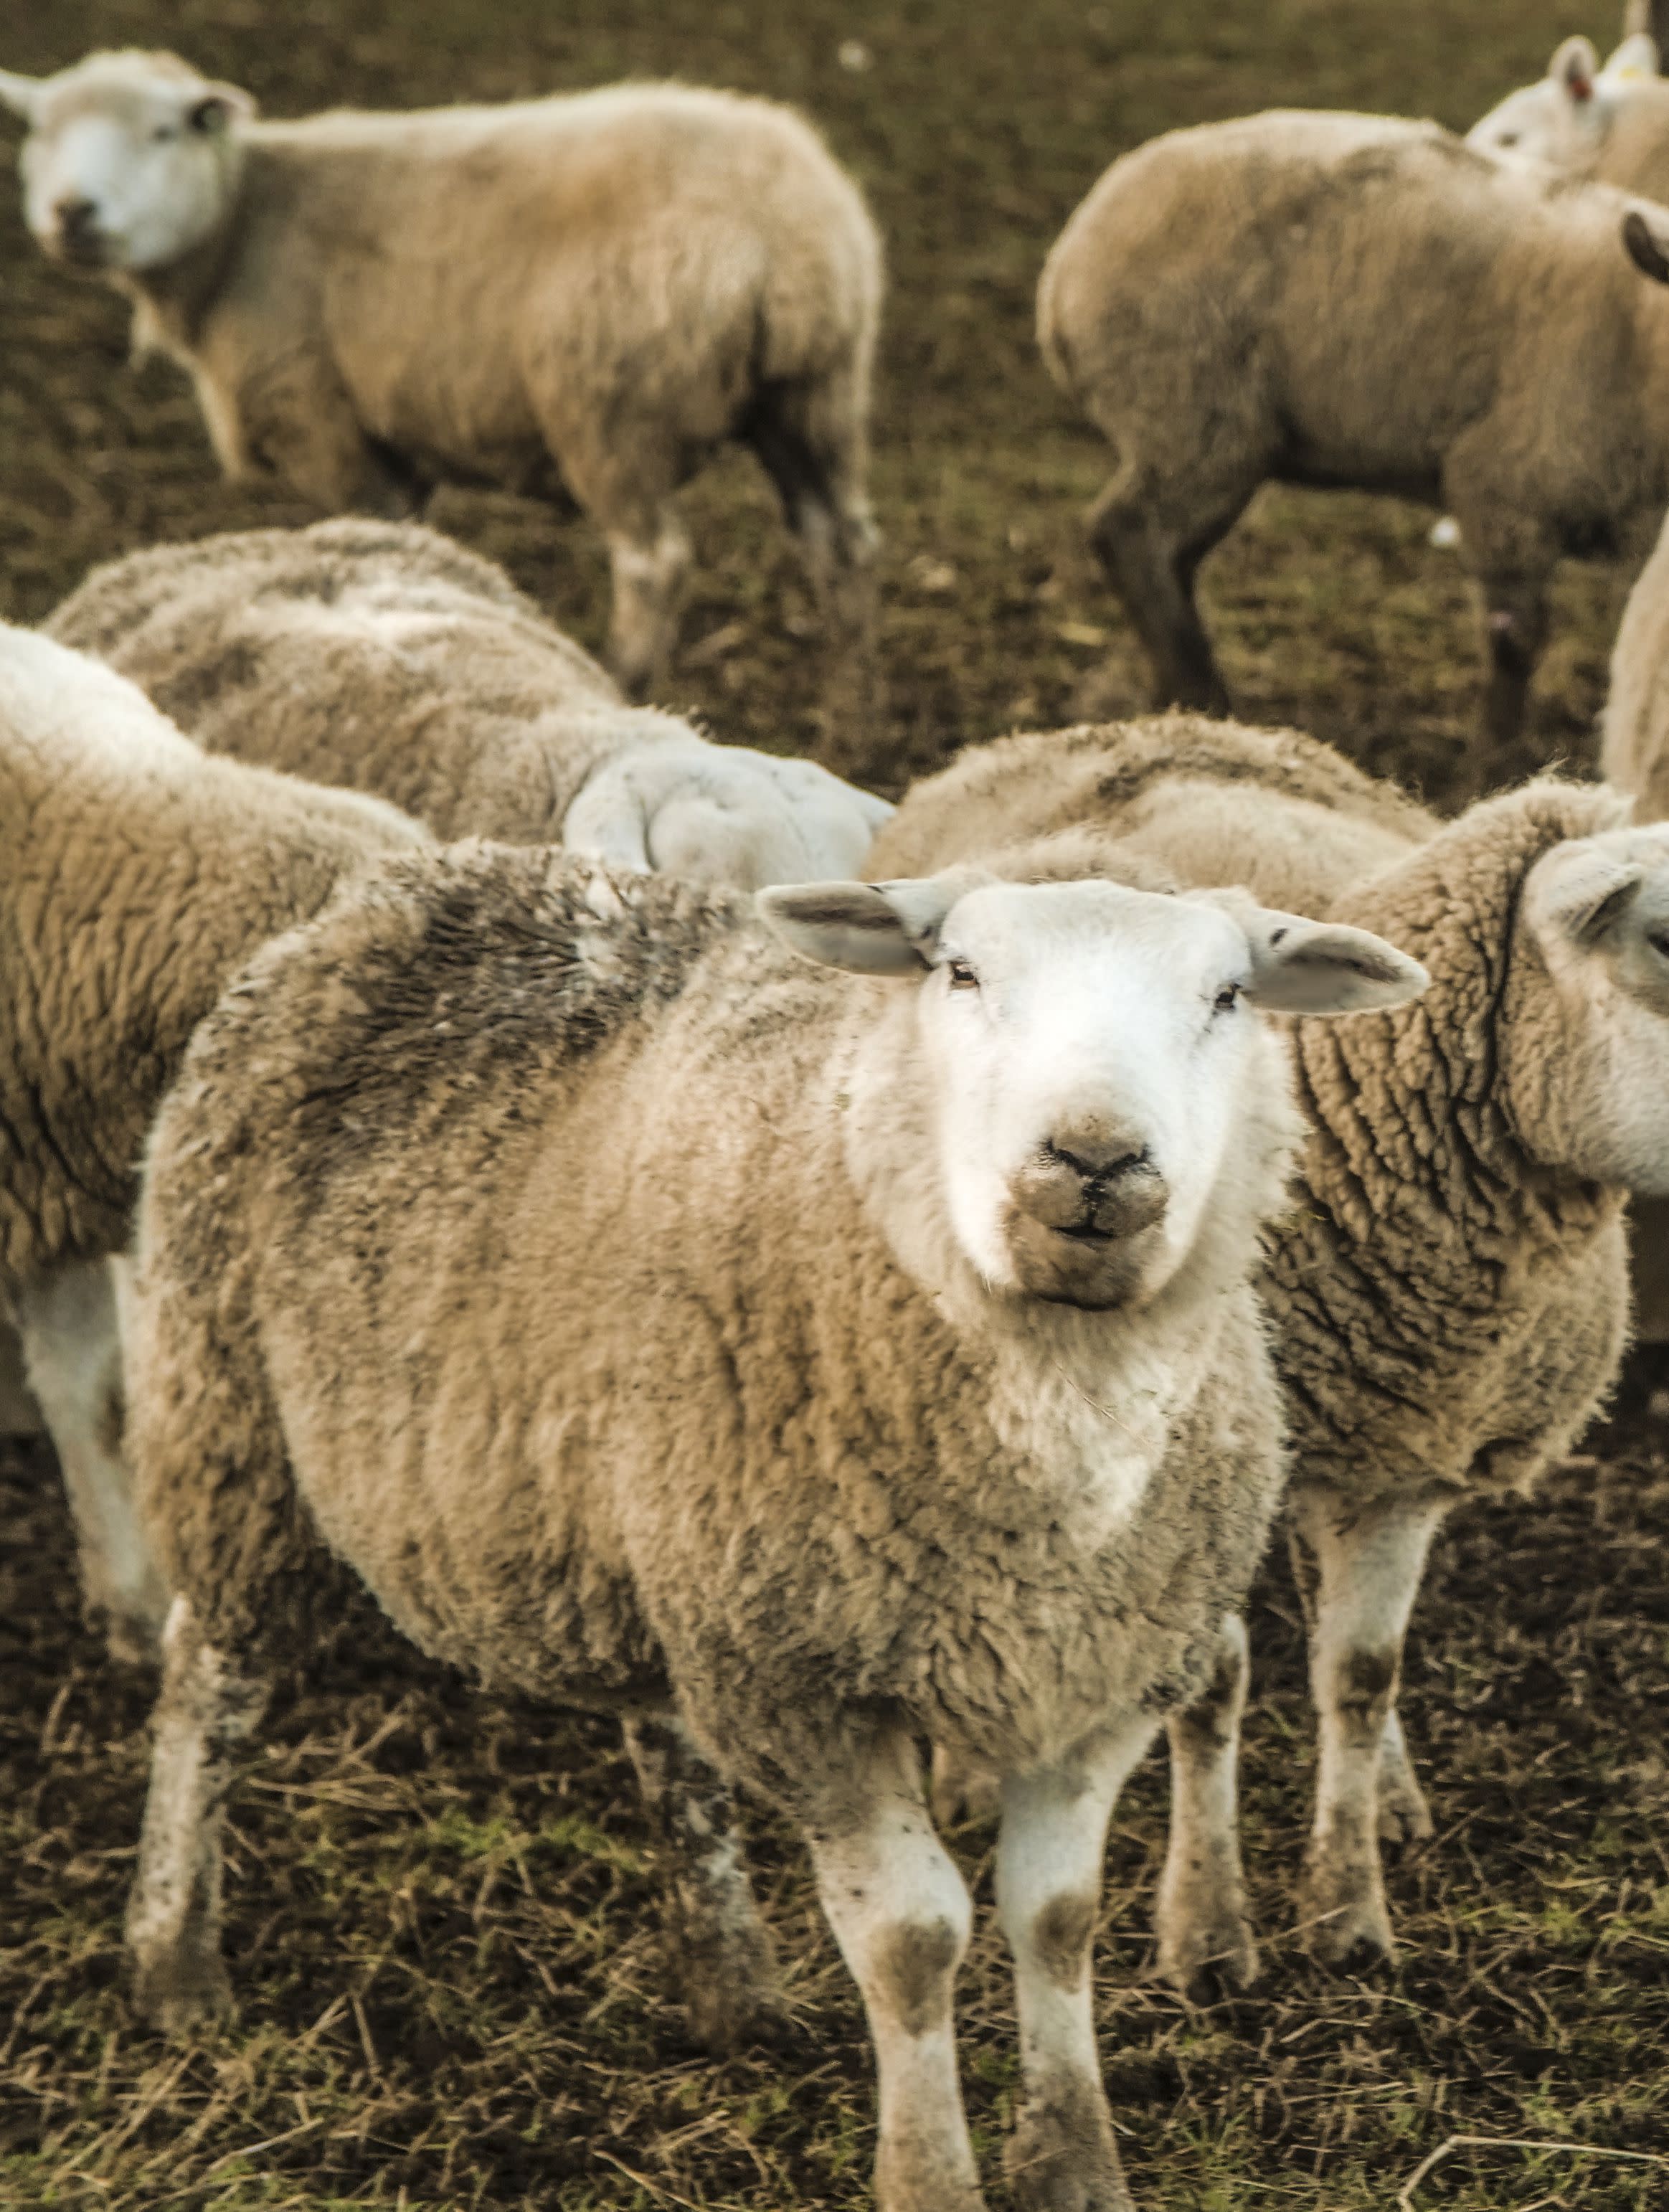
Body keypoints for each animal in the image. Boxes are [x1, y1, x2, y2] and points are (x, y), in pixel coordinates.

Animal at [0, 49, 889, 760]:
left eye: (163, 131)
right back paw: (848, 724)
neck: (240, 224)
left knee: (654, 562)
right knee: (840, 546)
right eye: (39, 134)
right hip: (816, 396)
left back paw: (619, 681)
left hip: (608, 401)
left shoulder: (325, 423)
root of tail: (780, 234)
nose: (73, 212)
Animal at [118, 831, 1423, 2212]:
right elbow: (913, 1941)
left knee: (665, 1736)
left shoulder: (1093, 1680)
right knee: (208, 1681)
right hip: (230, 1417)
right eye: (960, 971)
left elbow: (1054, 1920)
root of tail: (425, 874)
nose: (1092, 1162)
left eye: (1226, 995)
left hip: (663, 1540)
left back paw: (729, 1982)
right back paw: (173, 1958)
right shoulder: (814, 1693)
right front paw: (928, 2176)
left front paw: (1073, 2163)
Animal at [1043, 112, 1669, 747]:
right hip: (1190, 420)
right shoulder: (1506, 491)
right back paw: (1203, 698)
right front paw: (1498, 756)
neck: (1638, 336)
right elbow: (1514, 639)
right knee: (1125, 536)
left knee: (1167, 558)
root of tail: (1065, 268)